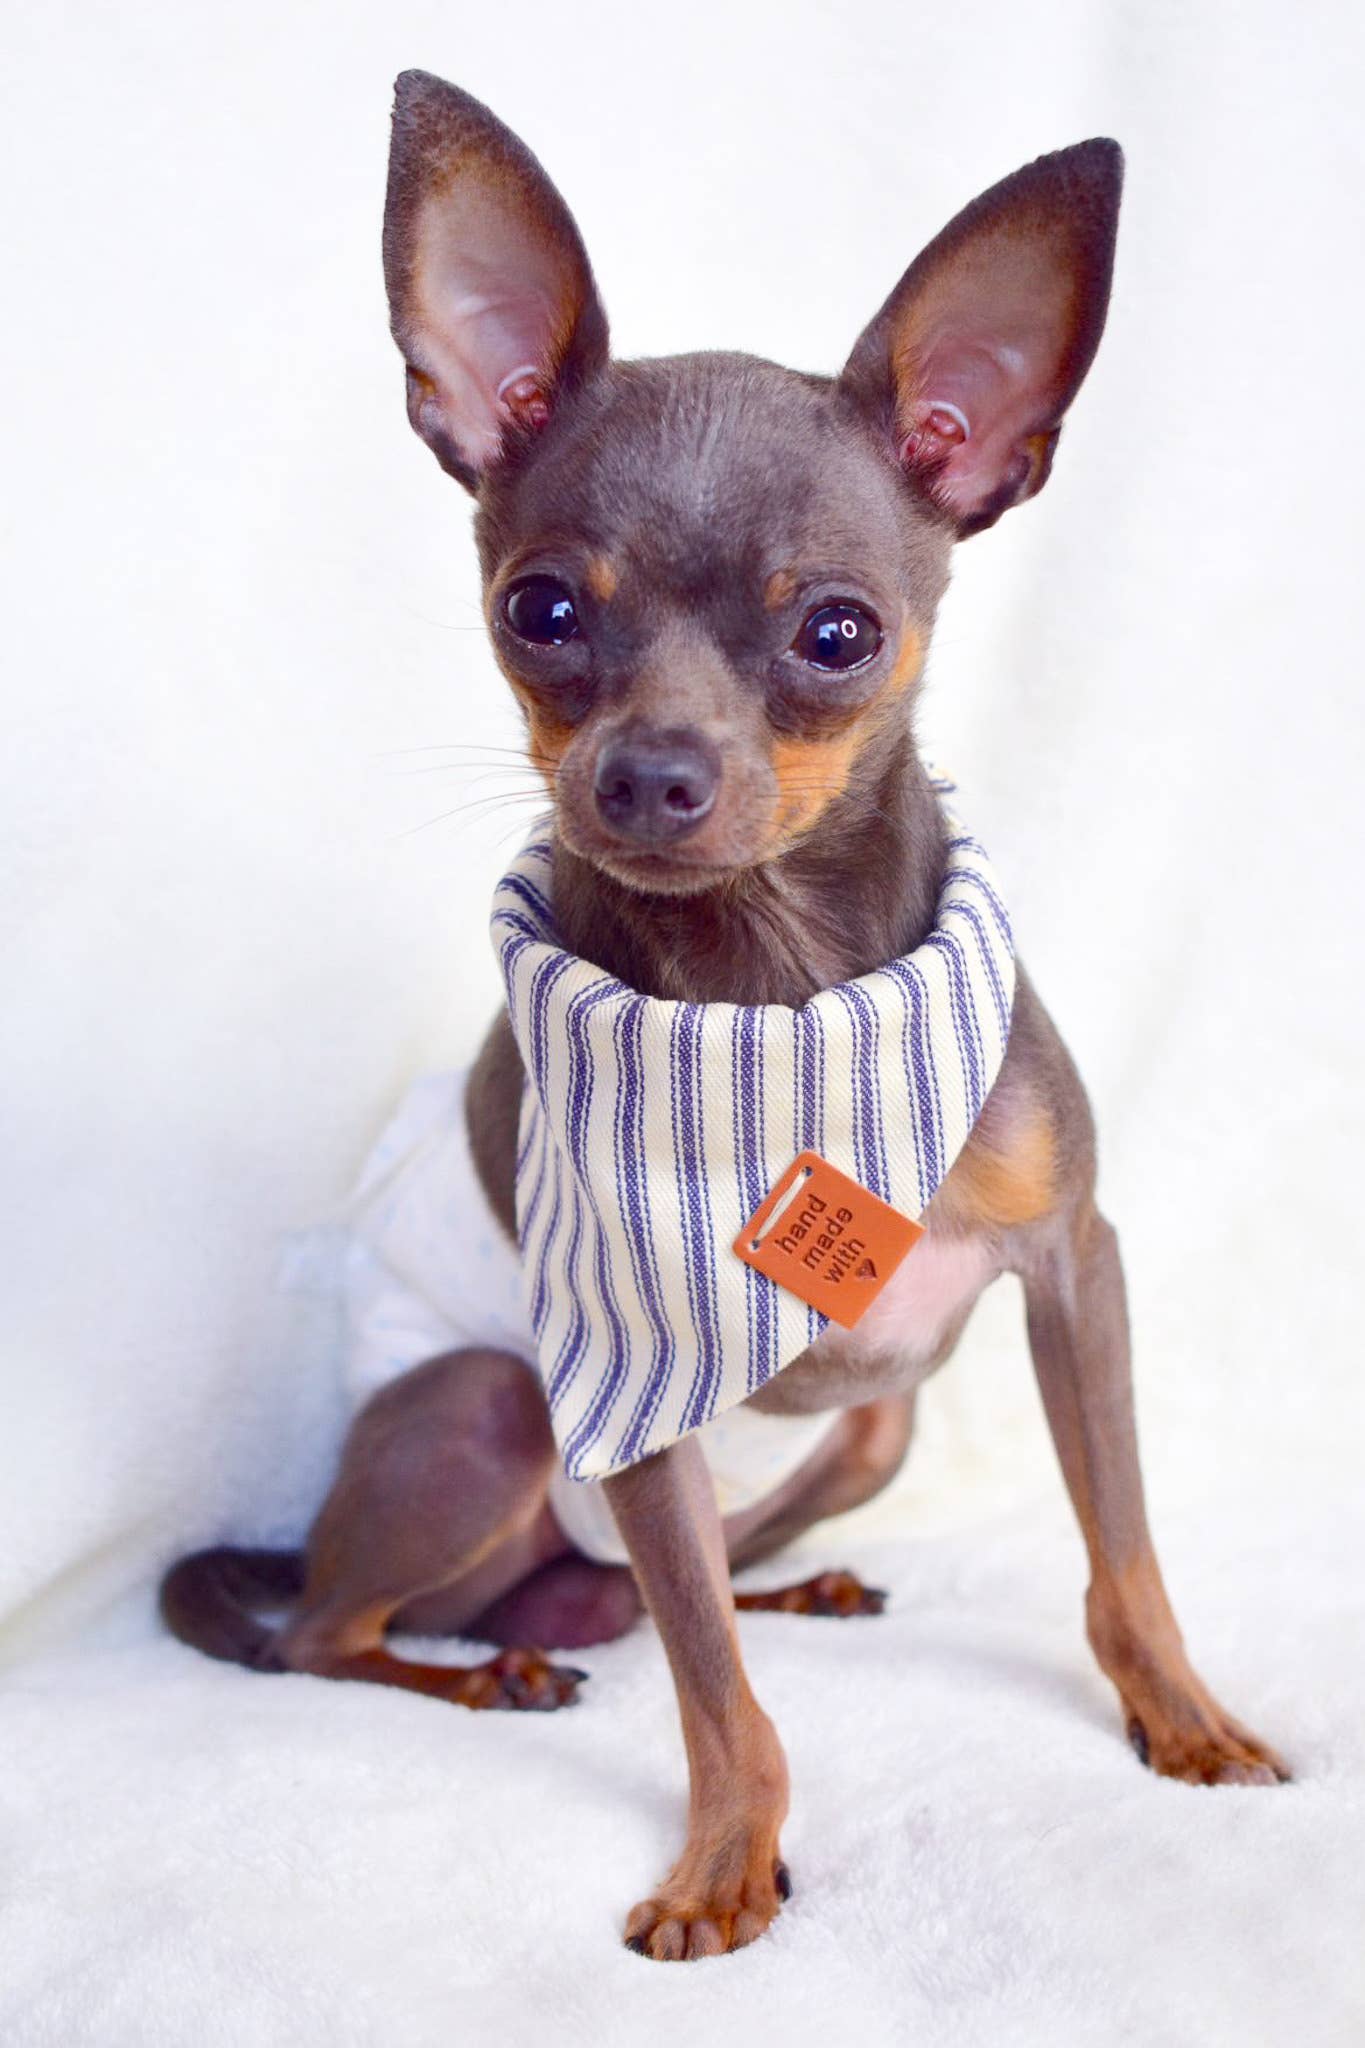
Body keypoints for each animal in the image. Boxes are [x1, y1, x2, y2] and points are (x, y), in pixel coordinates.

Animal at [162, 75, 1293, 1966]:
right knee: (344, 1636)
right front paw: (723, 1862)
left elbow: (1122, 1547)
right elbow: (711, 1690)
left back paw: (791, 1586)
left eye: (838, 634)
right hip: (494, 1406)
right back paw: (486, 1674)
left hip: (871, 1424)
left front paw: (1182, 1717)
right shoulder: (635, 1385)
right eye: (539, 609)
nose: (649, 774)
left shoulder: (1075, 1269)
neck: (787, 983)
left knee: (646, 1589)